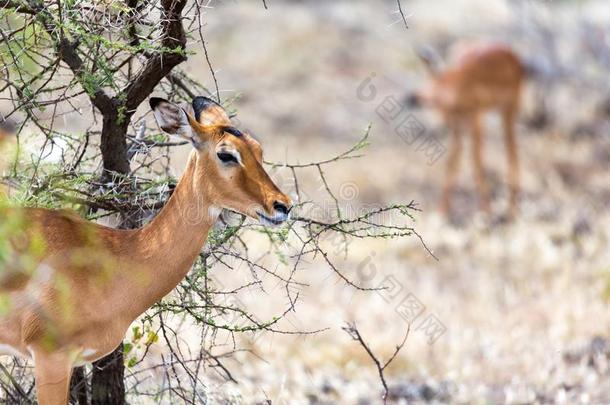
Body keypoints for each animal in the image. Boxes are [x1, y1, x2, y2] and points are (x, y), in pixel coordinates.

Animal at [406, 42, 520, 216]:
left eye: (434, 81)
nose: (411, 98)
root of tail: (512, 55)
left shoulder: (475, 120)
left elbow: (476, 161)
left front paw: (486, 211)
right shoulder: (457, 127)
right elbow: (452, 162)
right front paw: (442, 211)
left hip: (509, 111)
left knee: (511, 150)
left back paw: (511, 210)